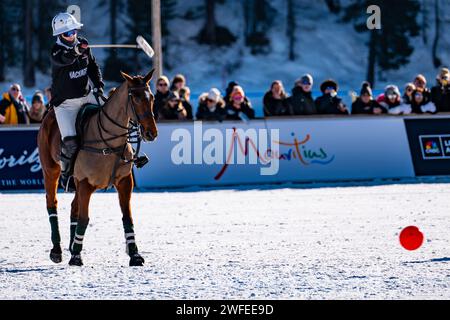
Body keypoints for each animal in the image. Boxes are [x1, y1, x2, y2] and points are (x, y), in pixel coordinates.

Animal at [38, 70, 158, 268]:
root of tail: (48, 114)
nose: (151, 133)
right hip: (51, 170)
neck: (109, 141)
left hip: (76, 183)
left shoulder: (124, 182)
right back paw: (57, 250)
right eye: (135, 98)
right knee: (52, 203)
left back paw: (71, 245)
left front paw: (134, 255)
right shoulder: (85, 183)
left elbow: (127, 217)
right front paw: (76, 257)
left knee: (74, 207)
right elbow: (84, 218)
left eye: (152, 97)